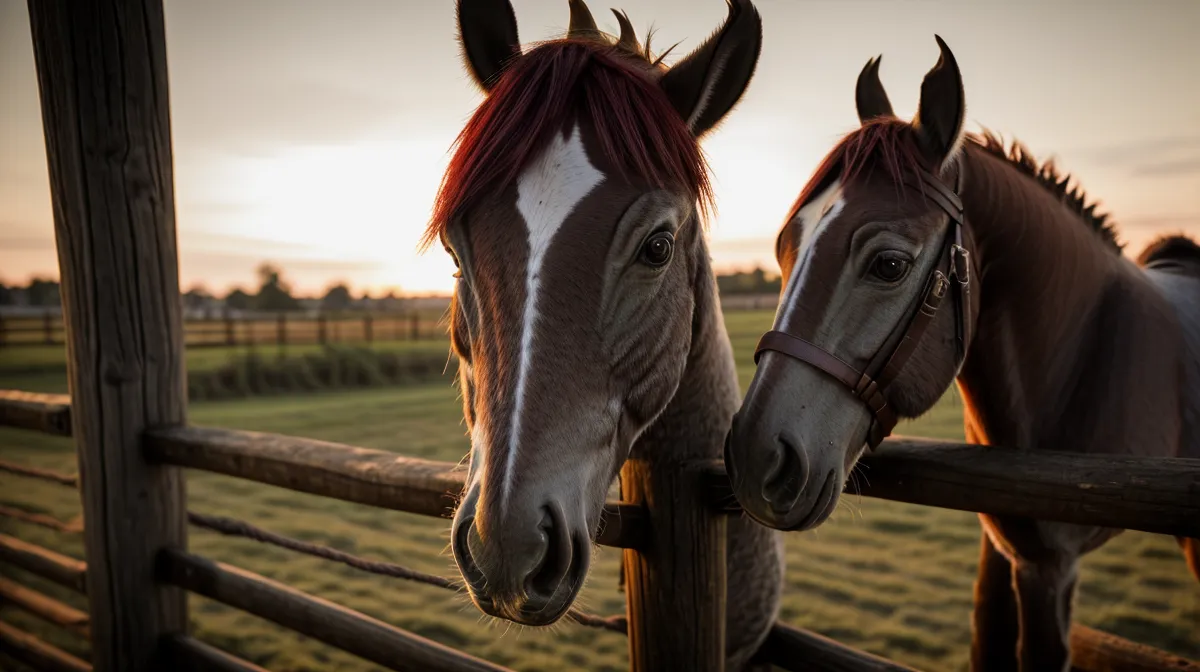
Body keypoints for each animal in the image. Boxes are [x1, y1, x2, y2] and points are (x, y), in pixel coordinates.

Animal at [723, 36, 1200, 671]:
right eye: (782, 248)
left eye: (890, 264)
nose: (755, 458)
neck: (1083, 357)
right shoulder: (1003, 547)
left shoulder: (1050, 567)